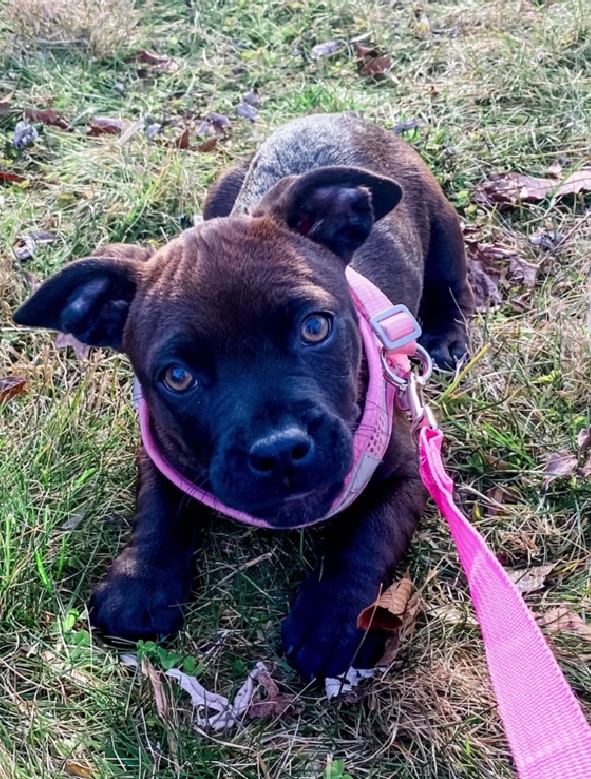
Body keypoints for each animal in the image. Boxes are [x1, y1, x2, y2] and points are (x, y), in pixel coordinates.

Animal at [13, 112, 474, 680]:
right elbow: (158, 508)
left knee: (452, 282)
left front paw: (332, 621)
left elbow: (365, 539)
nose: (279, 450)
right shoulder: (161, 446)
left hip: (441, 222)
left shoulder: (409, 473)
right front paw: (140, 583)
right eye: (177, 377)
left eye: (315, 328)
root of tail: (332, 114)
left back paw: (446, 335)